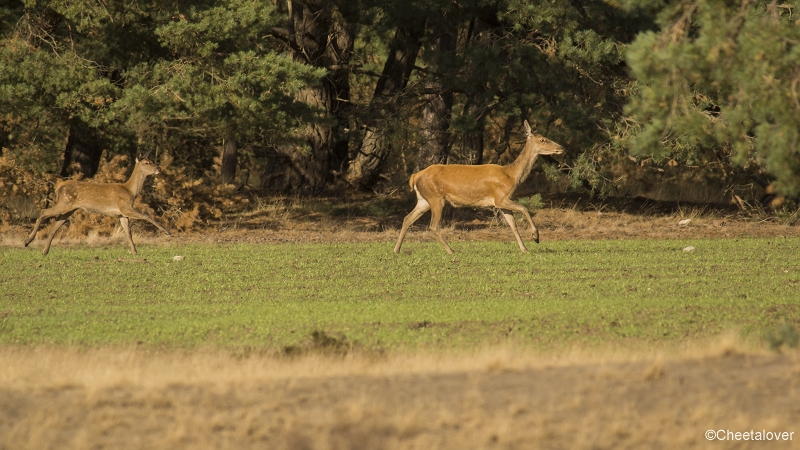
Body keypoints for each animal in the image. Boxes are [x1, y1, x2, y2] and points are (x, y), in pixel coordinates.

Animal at [23, 152, 170, 255]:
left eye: (151, 161)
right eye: (146, 162)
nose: (158, 168)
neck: (130, 192)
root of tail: (59, 188)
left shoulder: (121, 214)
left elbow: (128, 231)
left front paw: (135, 251)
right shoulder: (125, 207)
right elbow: (146, 215)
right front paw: (167, 232)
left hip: (70, 208)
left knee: (55, 225)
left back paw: (44, 251)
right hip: (65, 203)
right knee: (43, 212)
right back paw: (27, 241)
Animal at [394, 119, 564, 253]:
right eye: (543, 140)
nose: (561, 147)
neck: (511, 175)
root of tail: (415, 176)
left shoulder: (502, 202)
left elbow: (513, 225)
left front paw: (524, 249)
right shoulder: (500, 198)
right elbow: (524, 208)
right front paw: (535, 237)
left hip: (424, 199)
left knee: (407, 218)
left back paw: (396, 249)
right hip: (436, 198)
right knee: (433, 226)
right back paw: (451, 251)